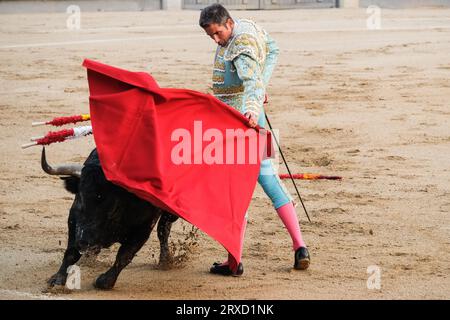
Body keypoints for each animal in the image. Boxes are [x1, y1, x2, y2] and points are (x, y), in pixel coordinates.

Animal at [41, 148, 179, 290]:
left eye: (112, 206)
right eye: (81, 197)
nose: (84, 243)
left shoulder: (144, 227)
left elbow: (125, 255)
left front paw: (105, 281)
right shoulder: (74, 217)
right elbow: (71, 251)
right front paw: (57, 279)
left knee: (163, 229)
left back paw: (165, 261)